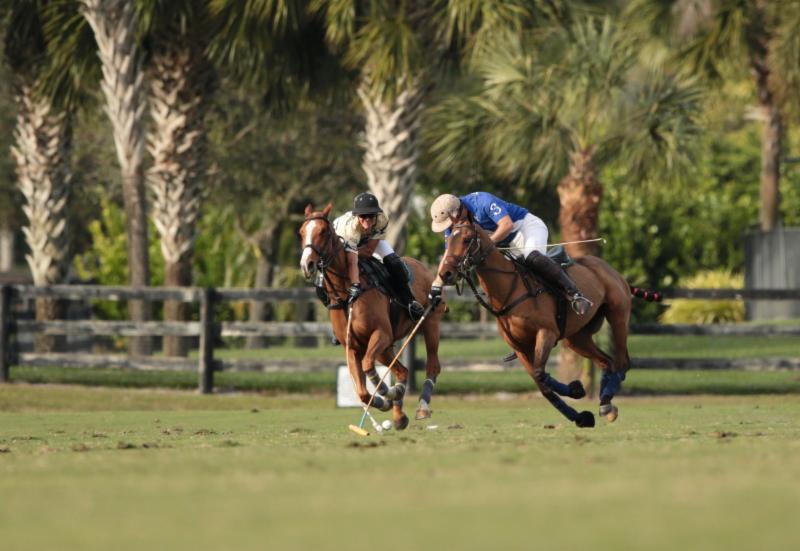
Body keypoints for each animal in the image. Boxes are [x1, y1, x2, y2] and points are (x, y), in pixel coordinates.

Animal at [299, 204, 446, 429]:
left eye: (323, 232)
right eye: (301, 232)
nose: (307, 265)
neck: (347, 295)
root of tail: (423, 267)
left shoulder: (381, 334)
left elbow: (368, 367)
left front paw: (385, 393)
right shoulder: (352, 347)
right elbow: (362, 392)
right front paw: (385, 401)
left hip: (430, 325)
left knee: (432, 366)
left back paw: (421, 406)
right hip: (386, 348)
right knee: (402, 371)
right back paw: (399, 415)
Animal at [437, 215, 659, 428]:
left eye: (466, 239)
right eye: (448, 242)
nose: (445, 273)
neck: (509, 290)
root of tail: (612, 270)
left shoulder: (546, 332)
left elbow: (539, 373)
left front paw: (576, 389)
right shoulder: (519, 346)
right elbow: (542, 385)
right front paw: (580, 414)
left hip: (618, 315)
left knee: (622, 362)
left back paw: (607, 404)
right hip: (577, 339)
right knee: (608, 362)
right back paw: (605, 401)